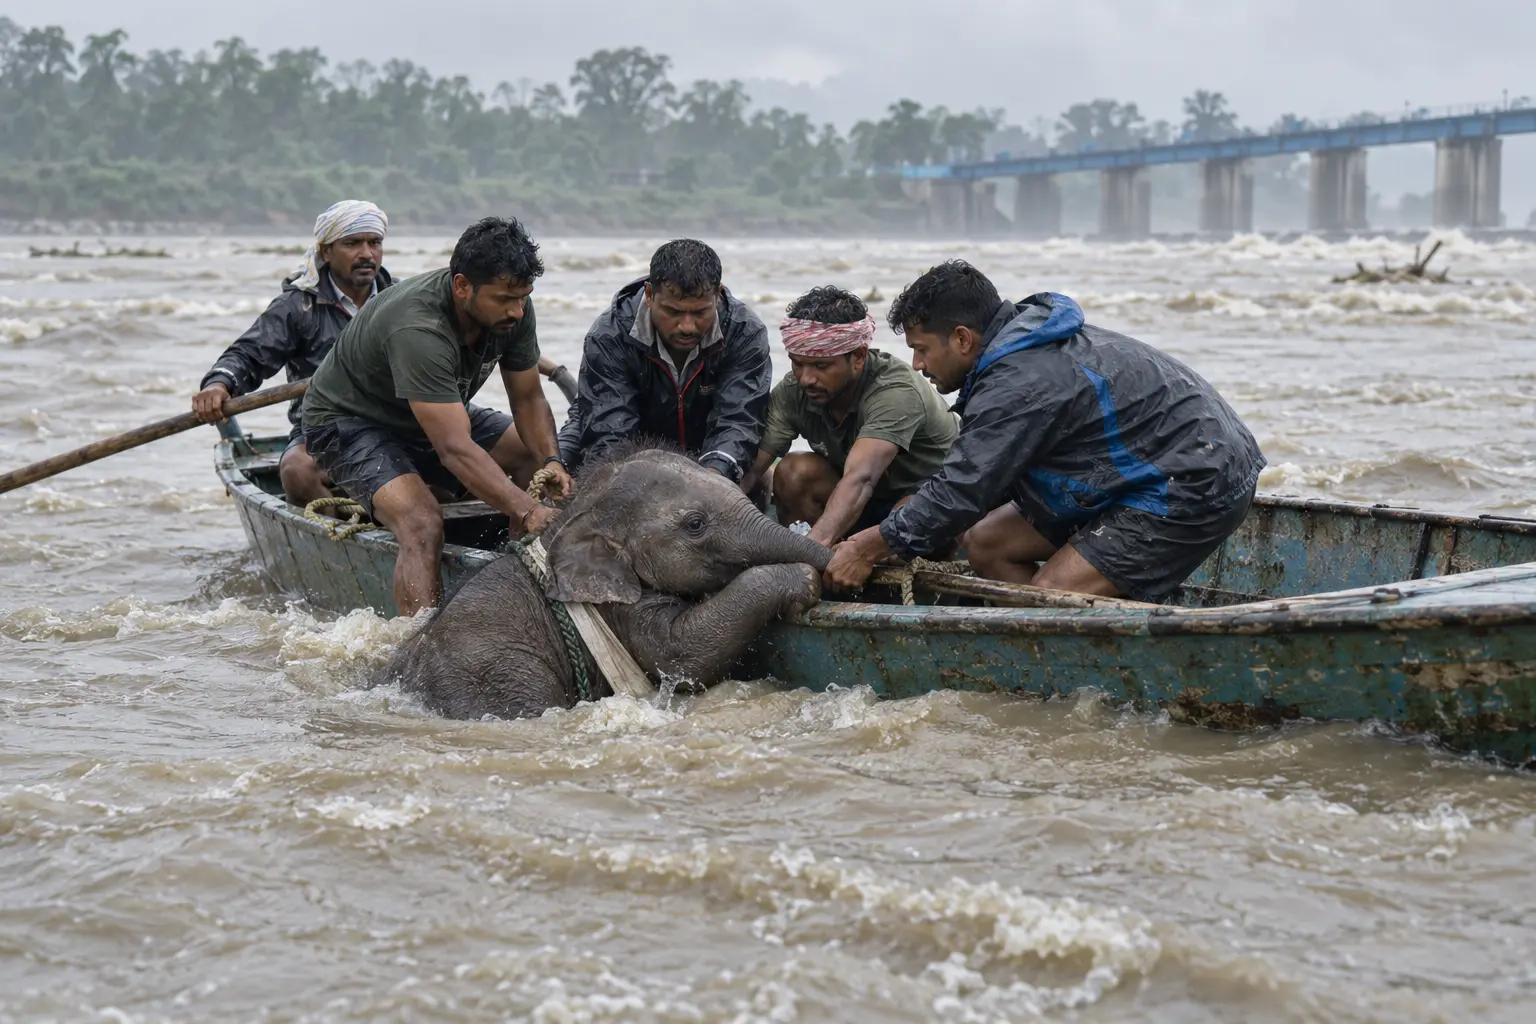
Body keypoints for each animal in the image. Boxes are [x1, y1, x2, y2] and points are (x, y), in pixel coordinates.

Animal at [377, 447, 832, 719]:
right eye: (695, 524)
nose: (837, 564)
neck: (568, 520)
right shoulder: (620, 609)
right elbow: (684, 654)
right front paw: (803, 580)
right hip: (500, 681)